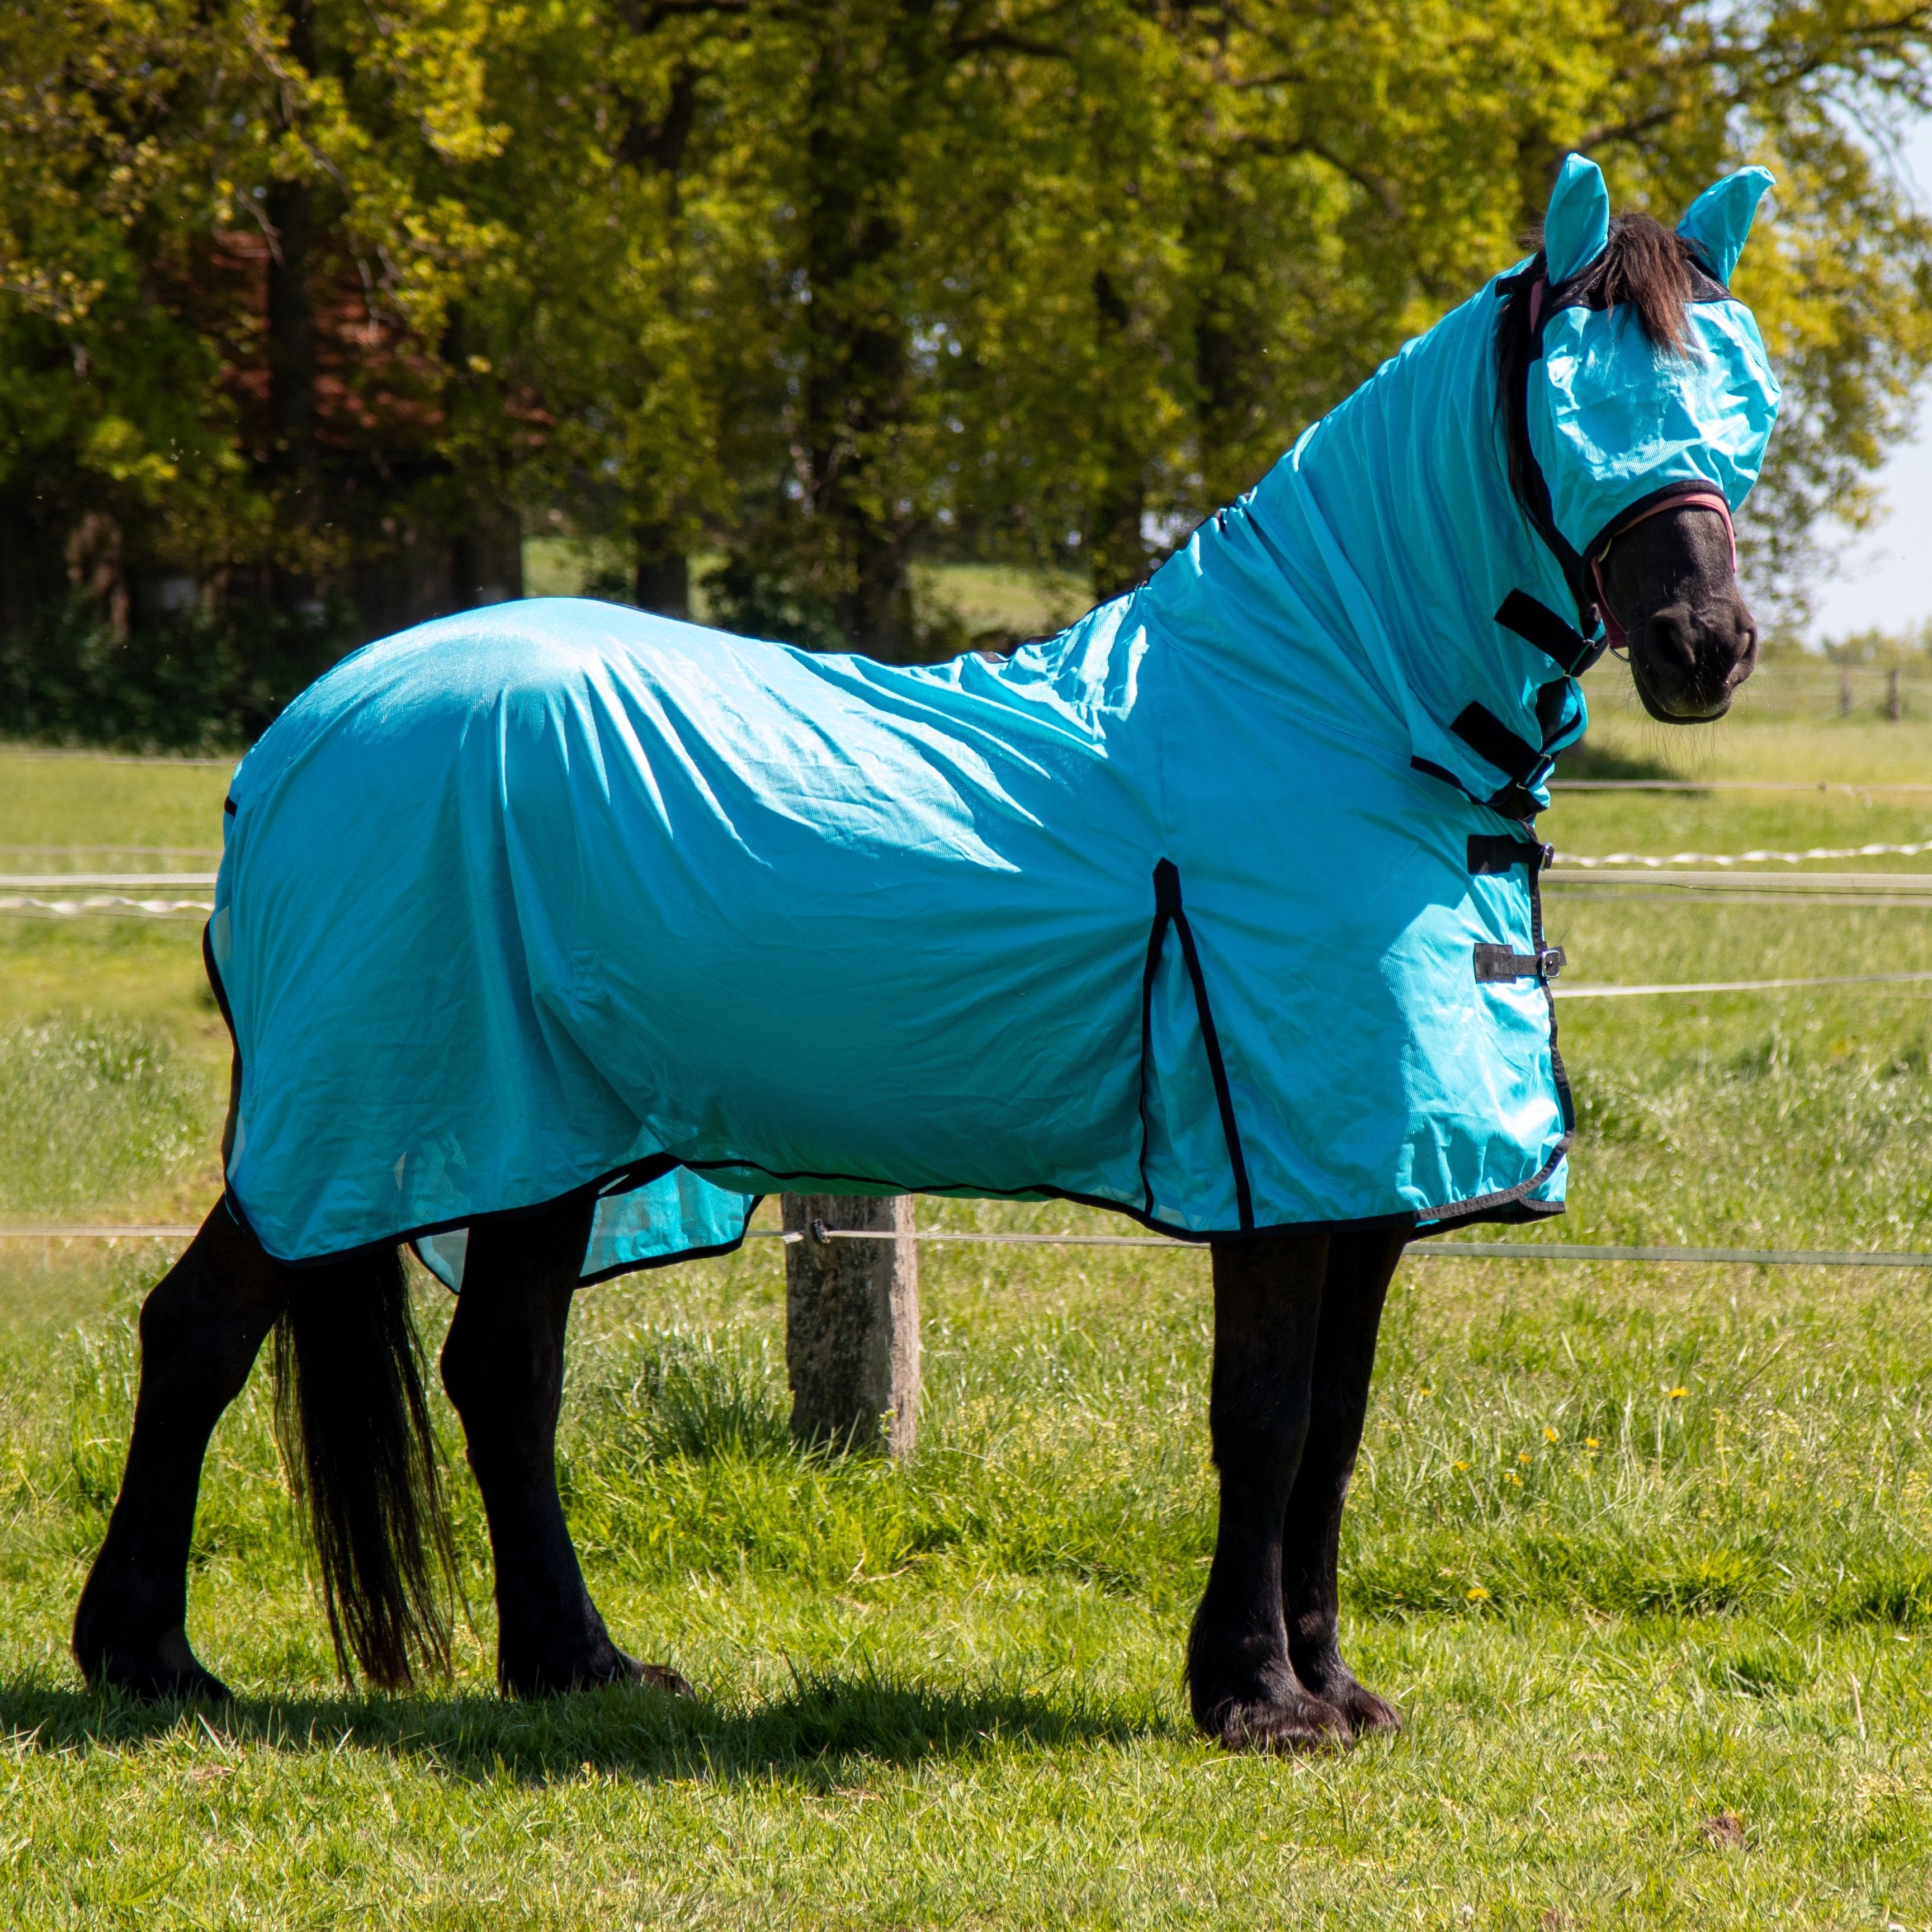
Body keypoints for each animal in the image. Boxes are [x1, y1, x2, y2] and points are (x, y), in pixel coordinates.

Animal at [74, 154, 1777, 1750]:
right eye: (1575, 408)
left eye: (1737, 401)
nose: (1701, 646)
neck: (1327, 708)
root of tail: (294, 736)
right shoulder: (1280, 1175)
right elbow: (1264, 1413)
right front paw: (1253, 1696)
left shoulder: (1365, 1185)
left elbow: (1335, 1426)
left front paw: (1329, 1686)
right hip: (367, 1118)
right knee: (203, 1328)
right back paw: (149, 1656)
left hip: (542, 1137)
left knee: (500, 1371)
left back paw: (577, 1664)